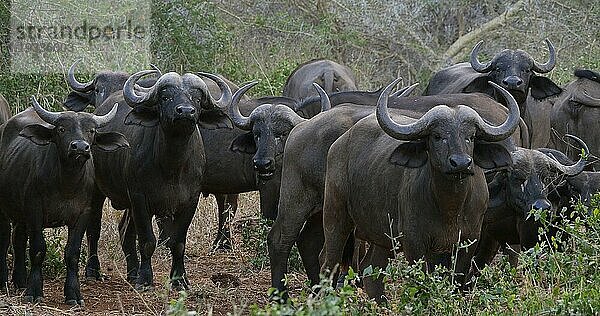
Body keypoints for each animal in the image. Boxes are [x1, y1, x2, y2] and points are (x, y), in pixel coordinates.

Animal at [0, 98, 126, 304]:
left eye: (91, 130)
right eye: (61, 129)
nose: (80, 147)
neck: (66, 184)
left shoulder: (83, 214)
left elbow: (72, 253)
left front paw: (73, 294)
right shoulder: (34, 211)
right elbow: (38, 249)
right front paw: (34, 291)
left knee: (18, 239)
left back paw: (20, 280)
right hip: (5, 210)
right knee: (4, 240)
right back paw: (4, 281)